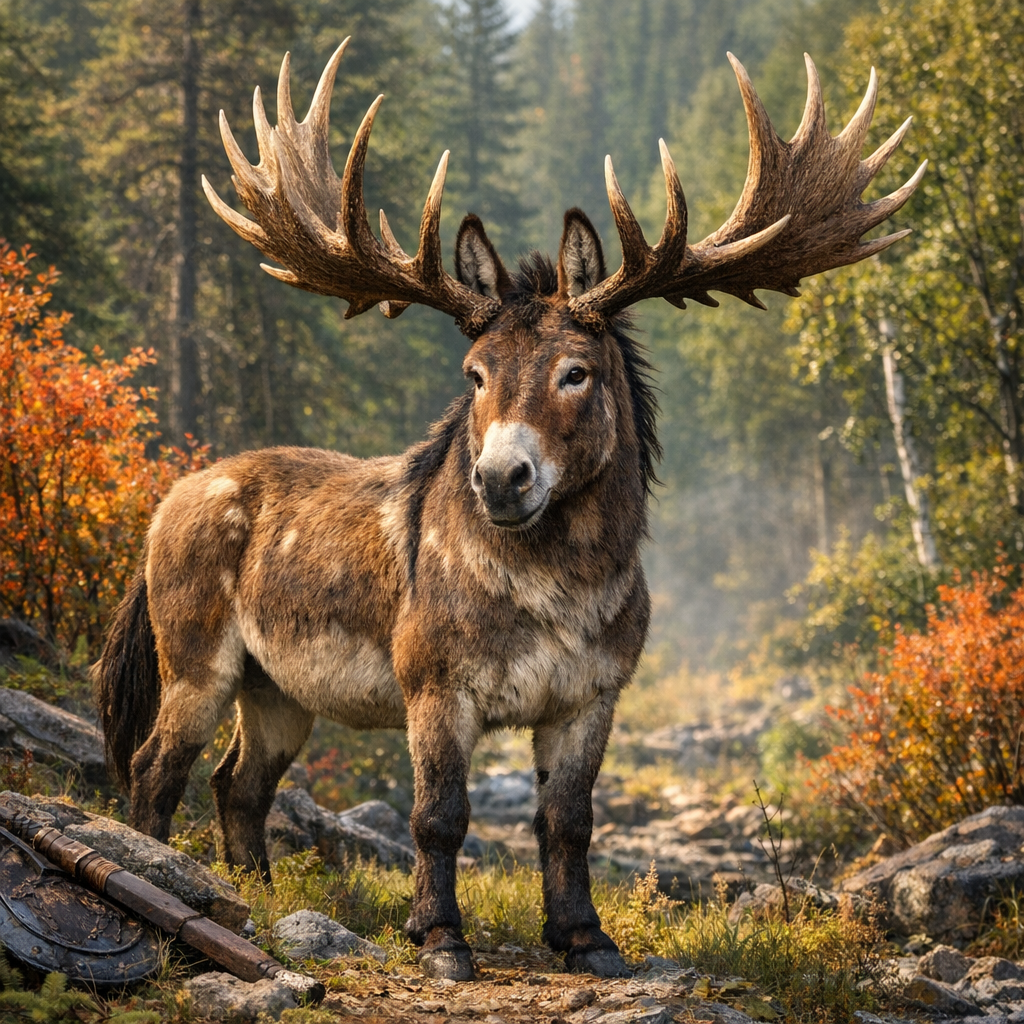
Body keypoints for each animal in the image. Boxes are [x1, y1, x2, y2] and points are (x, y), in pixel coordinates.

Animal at [95, 36, 923, 981]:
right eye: (474, 373)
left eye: (576, 370)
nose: (502, 479)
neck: (561, 596)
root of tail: (161, 508)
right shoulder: (431, 678)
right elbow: (438, 817)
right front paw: (438, 936)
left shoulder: (596, 691)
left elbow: (567, 820)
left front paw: (585, 937)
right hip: (194, 650)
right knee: (155, 764)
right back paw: (161, 866)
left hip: (279, 689)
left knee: (239, 782)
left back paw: (258, 892)